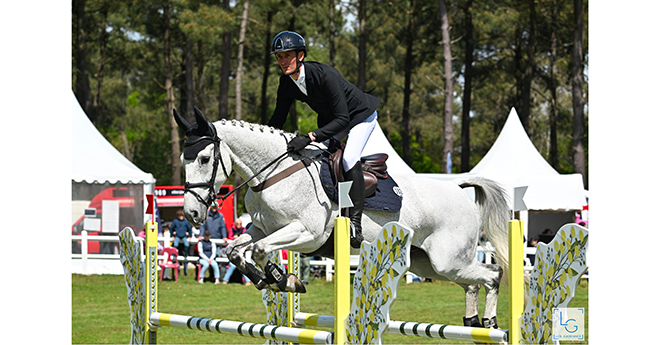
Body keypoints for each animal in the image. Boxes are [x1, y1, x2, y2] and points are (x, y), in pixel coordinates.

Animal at [174, 108, 510, 328]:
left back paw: (490, 322)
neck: (275, 174)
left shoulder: (307, 234)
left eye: (204, 158)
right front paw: (266, 279)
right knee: (472, 284)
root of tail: (458, 189)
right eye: (183, 160)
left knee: (492, 275)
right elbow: (235, 250)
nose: (192, 213)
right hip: (430, 264)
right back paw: (472, 322)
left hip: (448, 260)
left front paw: (284, 280)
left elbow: (258, 250)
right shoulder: (261, 228)